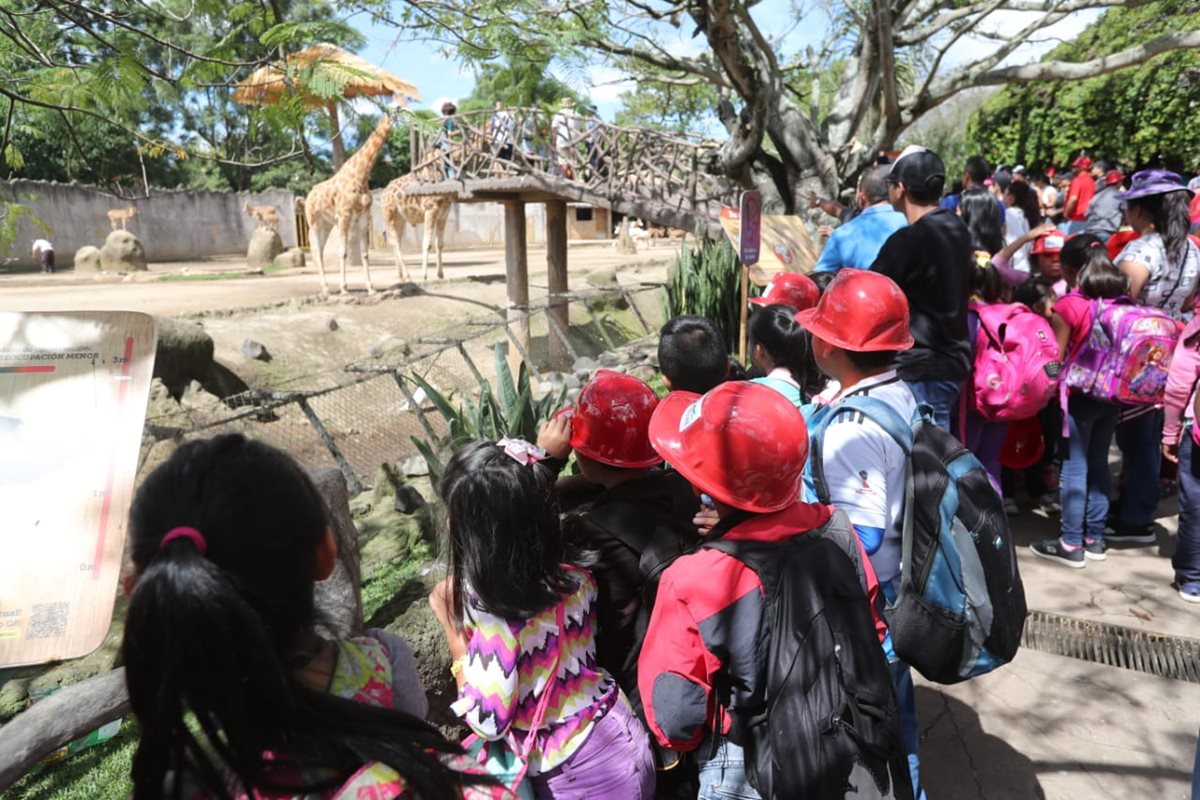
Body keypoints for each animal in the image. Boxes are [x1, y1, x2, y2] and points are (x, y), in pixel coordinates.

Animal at [300, 108, 393, 291]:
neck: (361, 176)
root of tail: (308, 196)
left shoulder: (363, 217)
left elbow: (365, 253)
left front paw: (370, 287)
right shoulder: (344, 216)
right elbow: (342, 252)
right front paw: (344, 288)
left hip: (326, 224)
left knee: (320, 251)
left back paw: (326, 285)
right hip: (314, 222)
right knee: (316, 251)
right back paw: (325, 287)